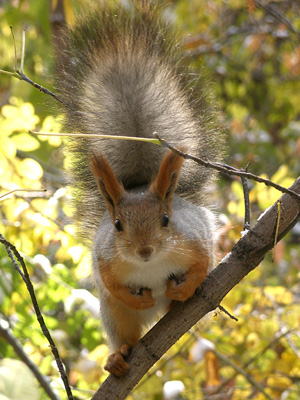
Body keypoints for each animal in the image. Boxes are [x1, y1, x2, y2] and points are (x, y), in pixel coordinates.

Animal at [56, 0, 225, 376]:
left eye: (166, 219)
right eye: (118, 225)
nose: (144, 250)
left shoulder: (193, 237)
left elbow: (205, 261)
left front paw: (184, 288)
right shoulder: (105, 255)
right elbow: (111, 283)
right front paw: (136, 294)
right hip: (115, 317)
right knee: (125, 331)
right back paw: (120, 355)